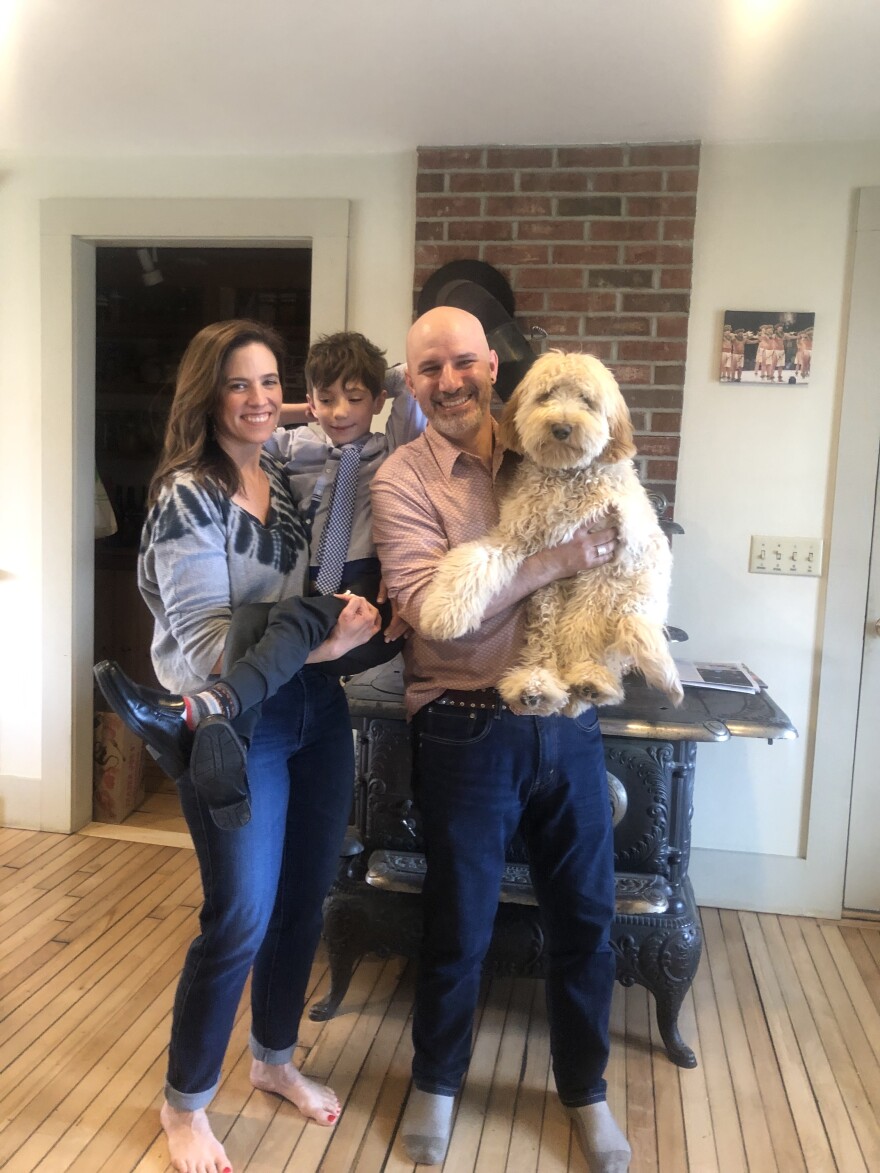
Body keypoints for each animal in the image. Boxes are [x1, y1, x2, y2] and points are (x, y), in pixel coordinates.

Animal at [422, 349, 689, 713]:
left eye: (587, 400)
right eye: (546, 395)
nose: (562, 427)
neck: (567, 476)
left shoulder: (605, 564)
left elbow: (583, 624)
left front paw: (585, 669)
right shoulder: (518, 539)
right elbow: (474, 560)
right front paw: (442, 610)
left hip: (635, 598)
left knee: (611, 647)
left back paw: (591, 680)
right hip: (547, 590)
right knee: (545, 638)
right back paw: (537, 684)